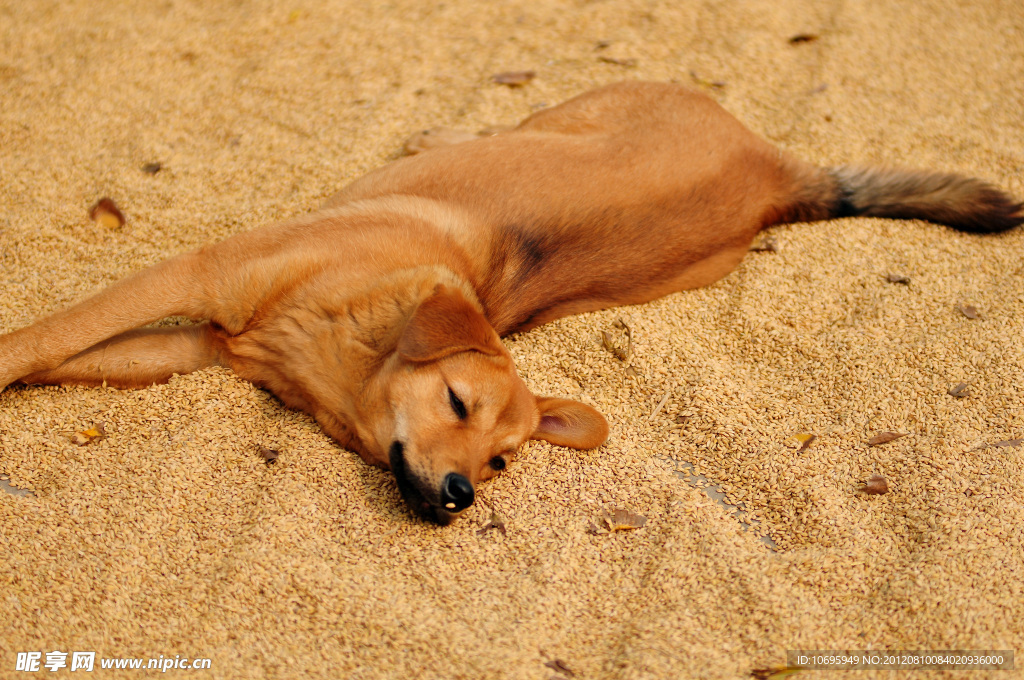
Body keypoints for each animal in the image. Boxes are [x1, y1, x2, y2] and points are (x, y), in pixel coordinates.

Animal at [0, 82, 1019, 522]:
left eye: (498, 464)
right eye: (456, 404)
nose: (457, 498)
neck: (350, 338)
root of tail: (780, 172)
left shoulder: (198, 346)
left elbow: (64, 358)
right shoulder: (197, 282)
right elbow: (45, 341)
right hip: (565, 113)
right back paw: (432, 134)